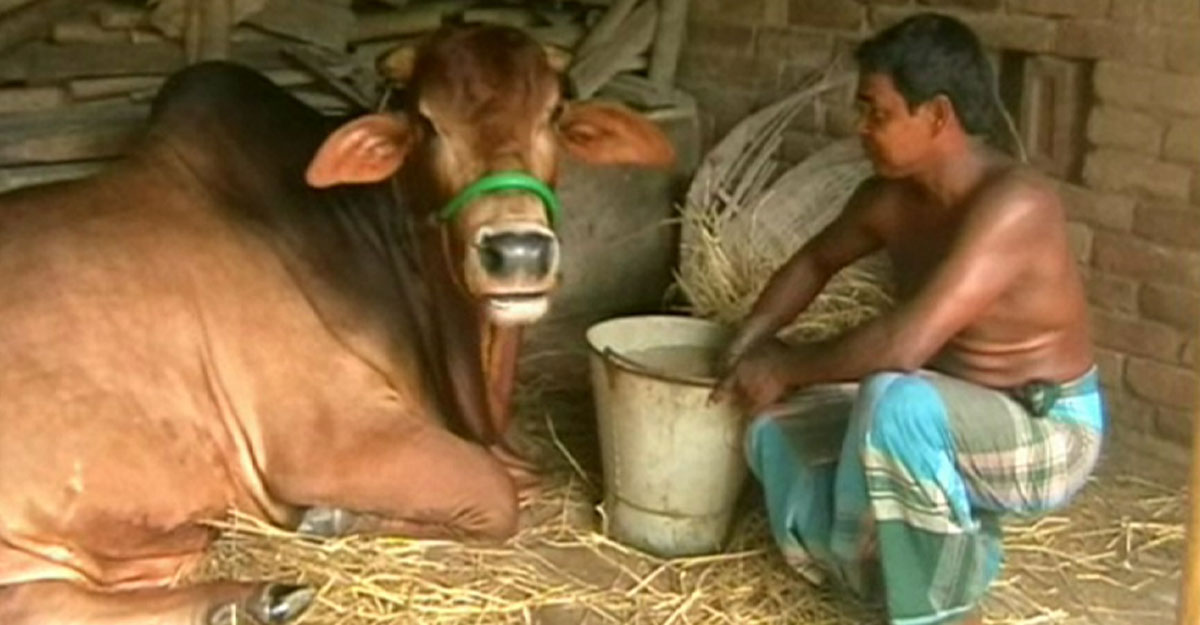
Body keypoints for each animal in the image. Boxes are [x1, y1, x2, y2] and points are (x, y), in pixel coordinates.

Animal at [0, 24, 674, 625]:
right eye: (427, 123)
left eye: (554, 113)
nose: (518, 252)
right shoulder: (322, 439)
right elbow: (494, 494)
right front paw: (330, 518)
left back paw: (250, 602)